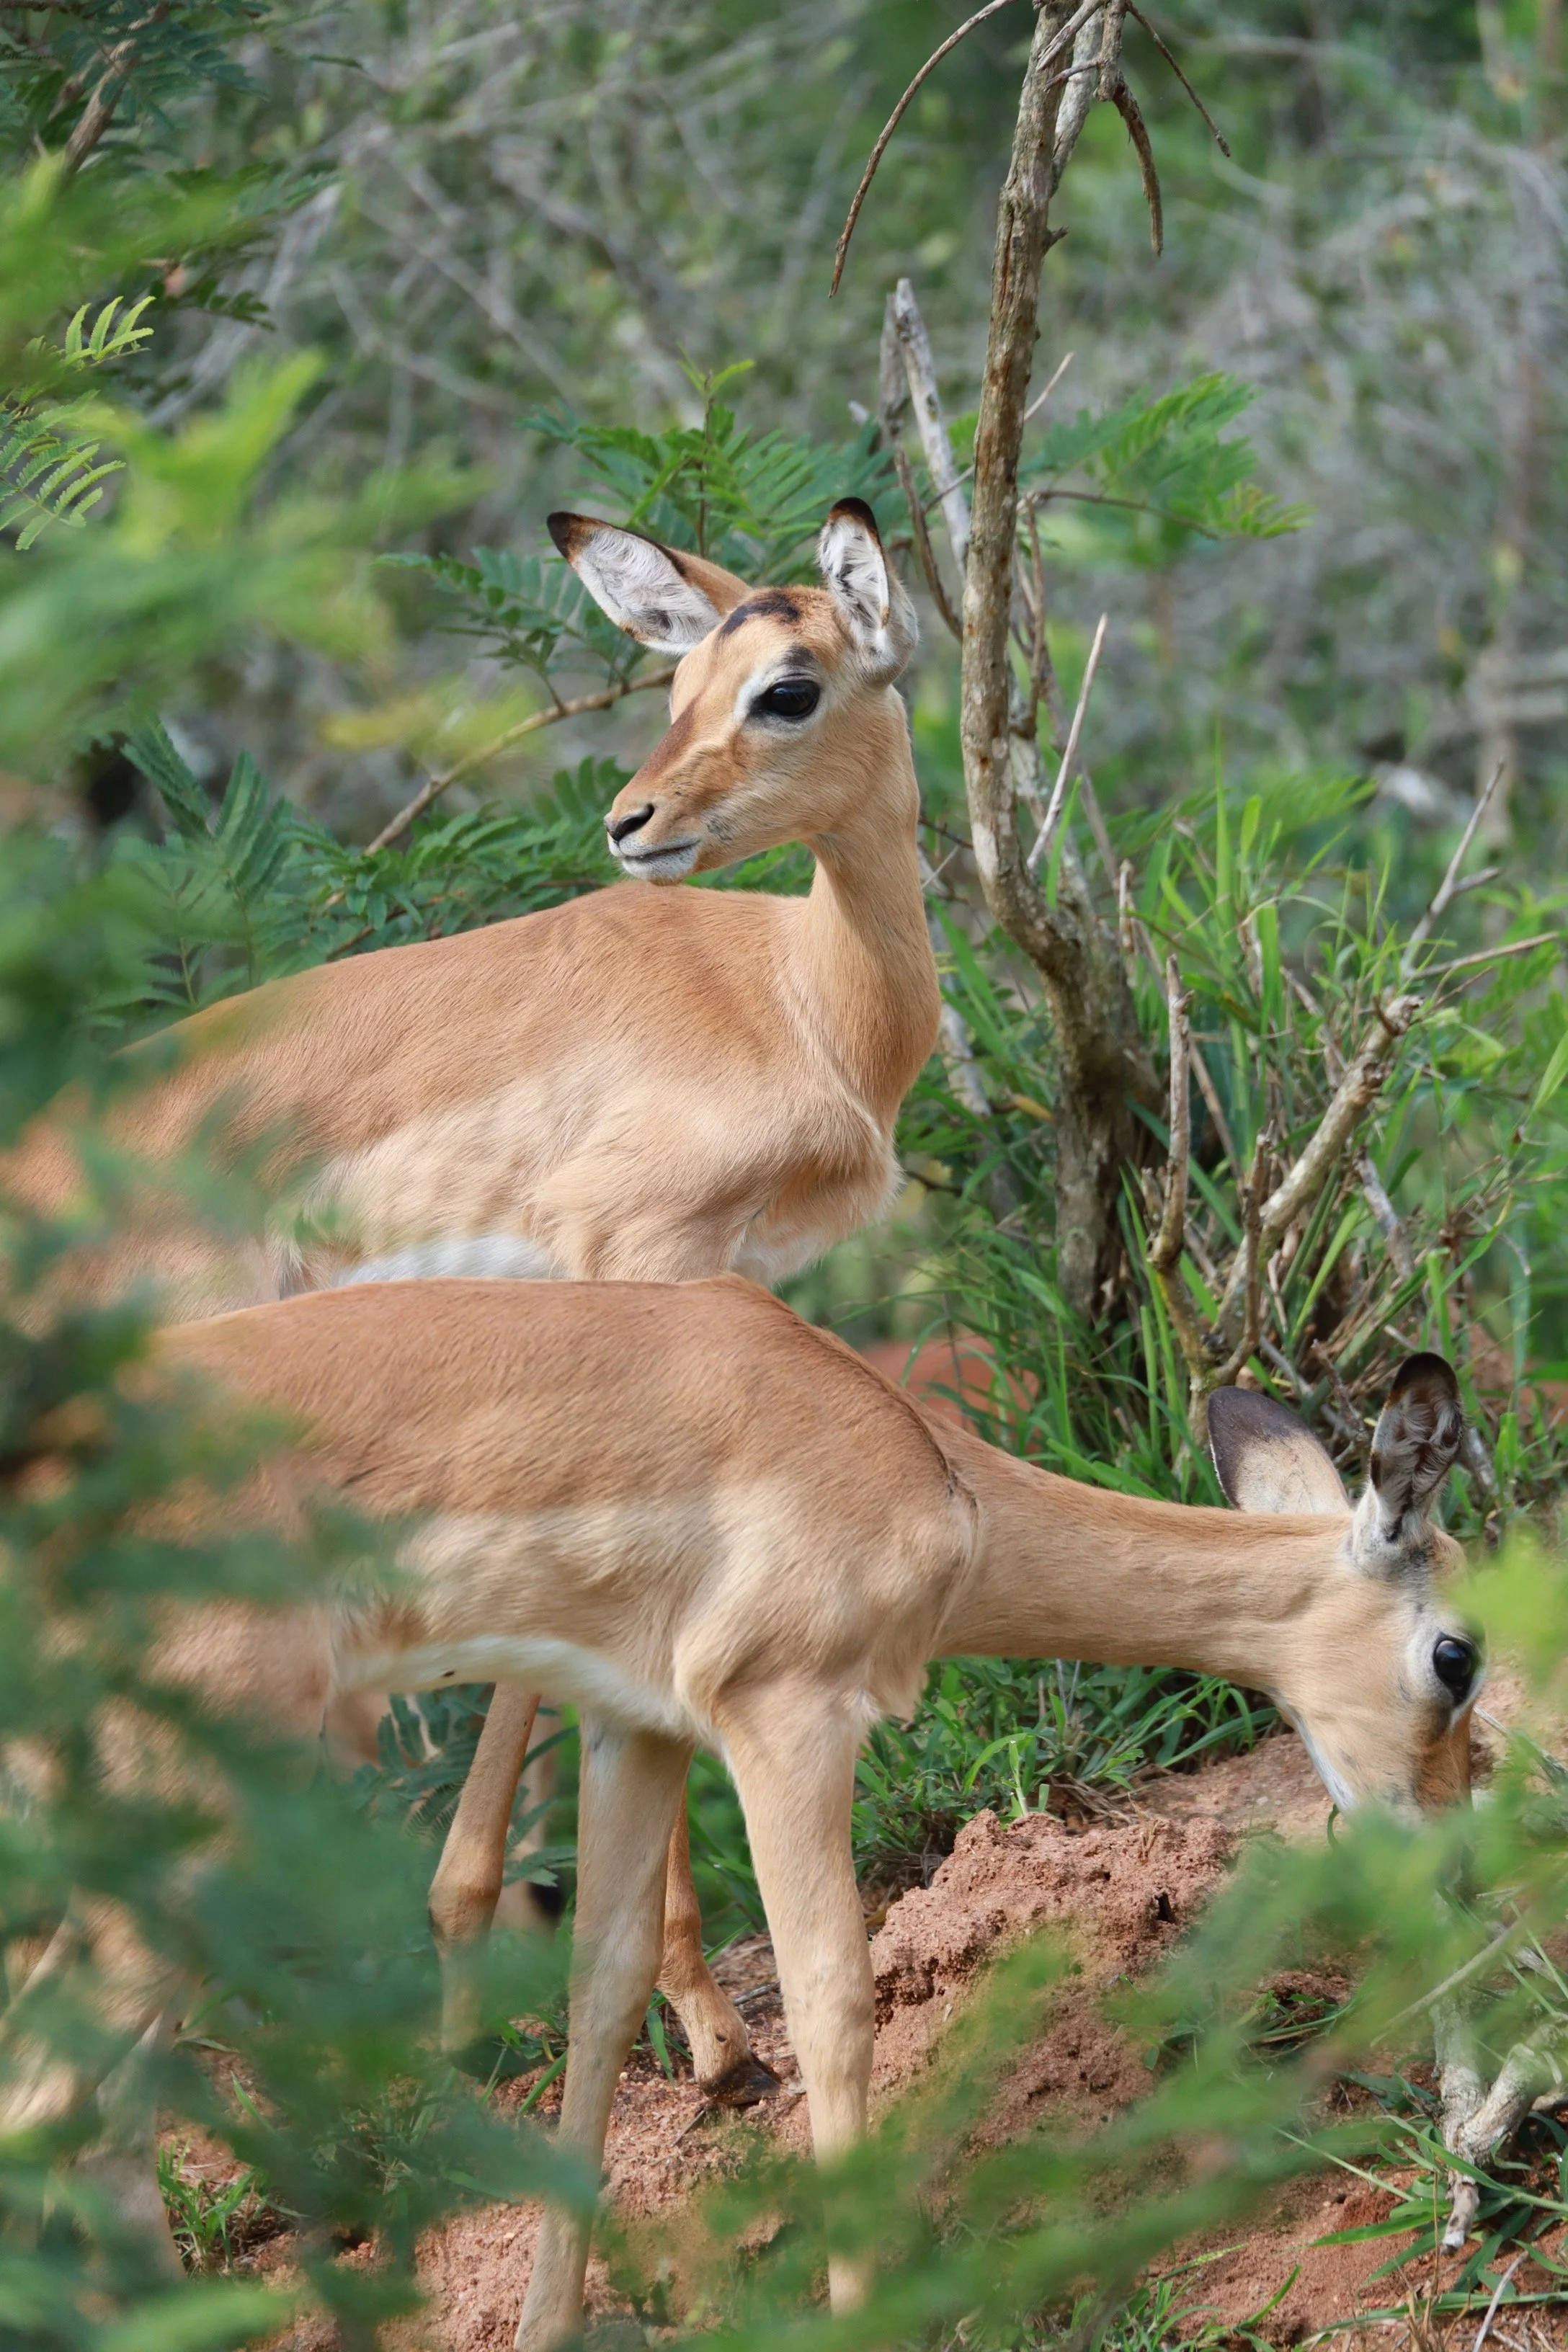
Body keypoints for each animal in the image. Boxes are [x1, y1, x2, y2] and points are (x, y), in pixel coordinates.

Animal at [7, 498, 937, 2097]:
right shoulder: (633, 1263)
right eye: (682, 683)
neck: (797, 1000)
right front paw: (699, 2027)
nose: (631, 822)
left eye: (784, 685)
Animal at [142, 1276, 1478, 2350]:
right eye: (1457, 1656)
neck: (931, 1474)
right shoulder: (787, 1715)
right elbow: (836, 1997)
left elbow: (601, 1990)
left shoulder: (635, 1723)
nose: (1455, 1865)